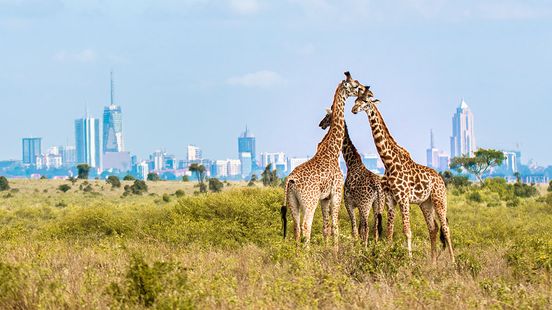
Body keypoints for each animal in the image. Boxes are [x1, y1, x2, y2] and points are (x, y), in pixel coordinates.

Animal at [280, 71, 366, 248]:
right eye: (355, 85)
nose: (365, 89)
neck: (332, 151)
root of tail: (290, 180)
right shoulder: (336, 192)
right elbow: (335, 226)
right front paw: (335, 253)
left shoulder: (324, 198)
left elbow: (326, 228)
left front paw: (327, 251)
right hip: (309, 201)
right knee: (306, 226)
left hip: (293, 202)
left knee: (296, 228)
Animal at [320, 108, 384, 246]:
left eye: (327, 116)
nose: (320, 124)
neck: (351, 163)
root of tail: (377, 187)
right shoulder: (357, 205)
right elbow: (359, 229)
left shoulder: (349, 203)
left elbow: (355, 229)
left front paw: (355, 247)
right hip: (378, 204)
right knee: (376, 228)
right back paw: (376, 247)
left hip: (365, 204)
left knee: (367, 227)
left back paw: (365, 248)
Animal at [354, 86, 452, 262]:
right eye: (355, 100)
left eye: (365, 101)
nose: (353, 109)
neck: (388, 162)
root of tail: (441, 179)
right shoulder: (390, 199)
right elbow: (390, 232)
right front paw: (387, 256)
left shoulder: (403, 198)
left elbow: (407, 231)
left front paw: (410, 261)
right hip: (425, 203)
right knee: (433, 228)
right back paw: (433, 263)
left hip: (439, 199)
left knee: (446, 228)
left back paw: (453, 262)